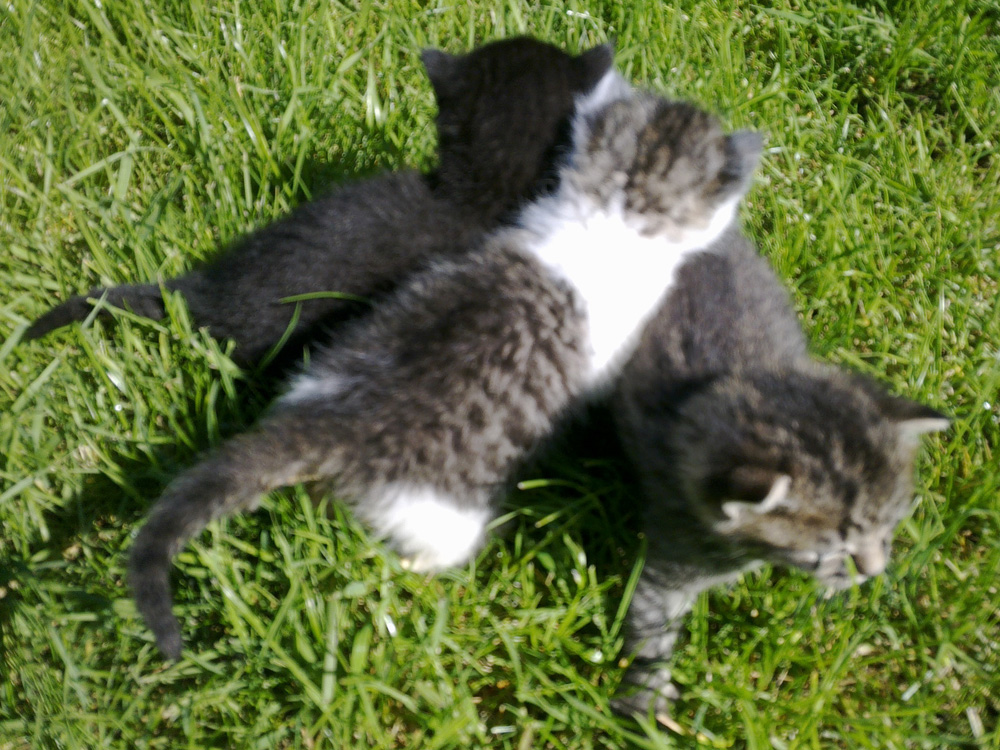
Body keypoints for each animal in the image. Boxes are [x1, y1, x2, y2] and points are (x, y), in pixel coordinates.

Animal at [608, 225, 949, 717]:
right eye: (828, 550)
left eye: (889, 528)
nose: (874, 572)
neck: (726, 376)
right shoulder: (673, 546)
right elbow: (651, 621)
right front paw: (645, 698)